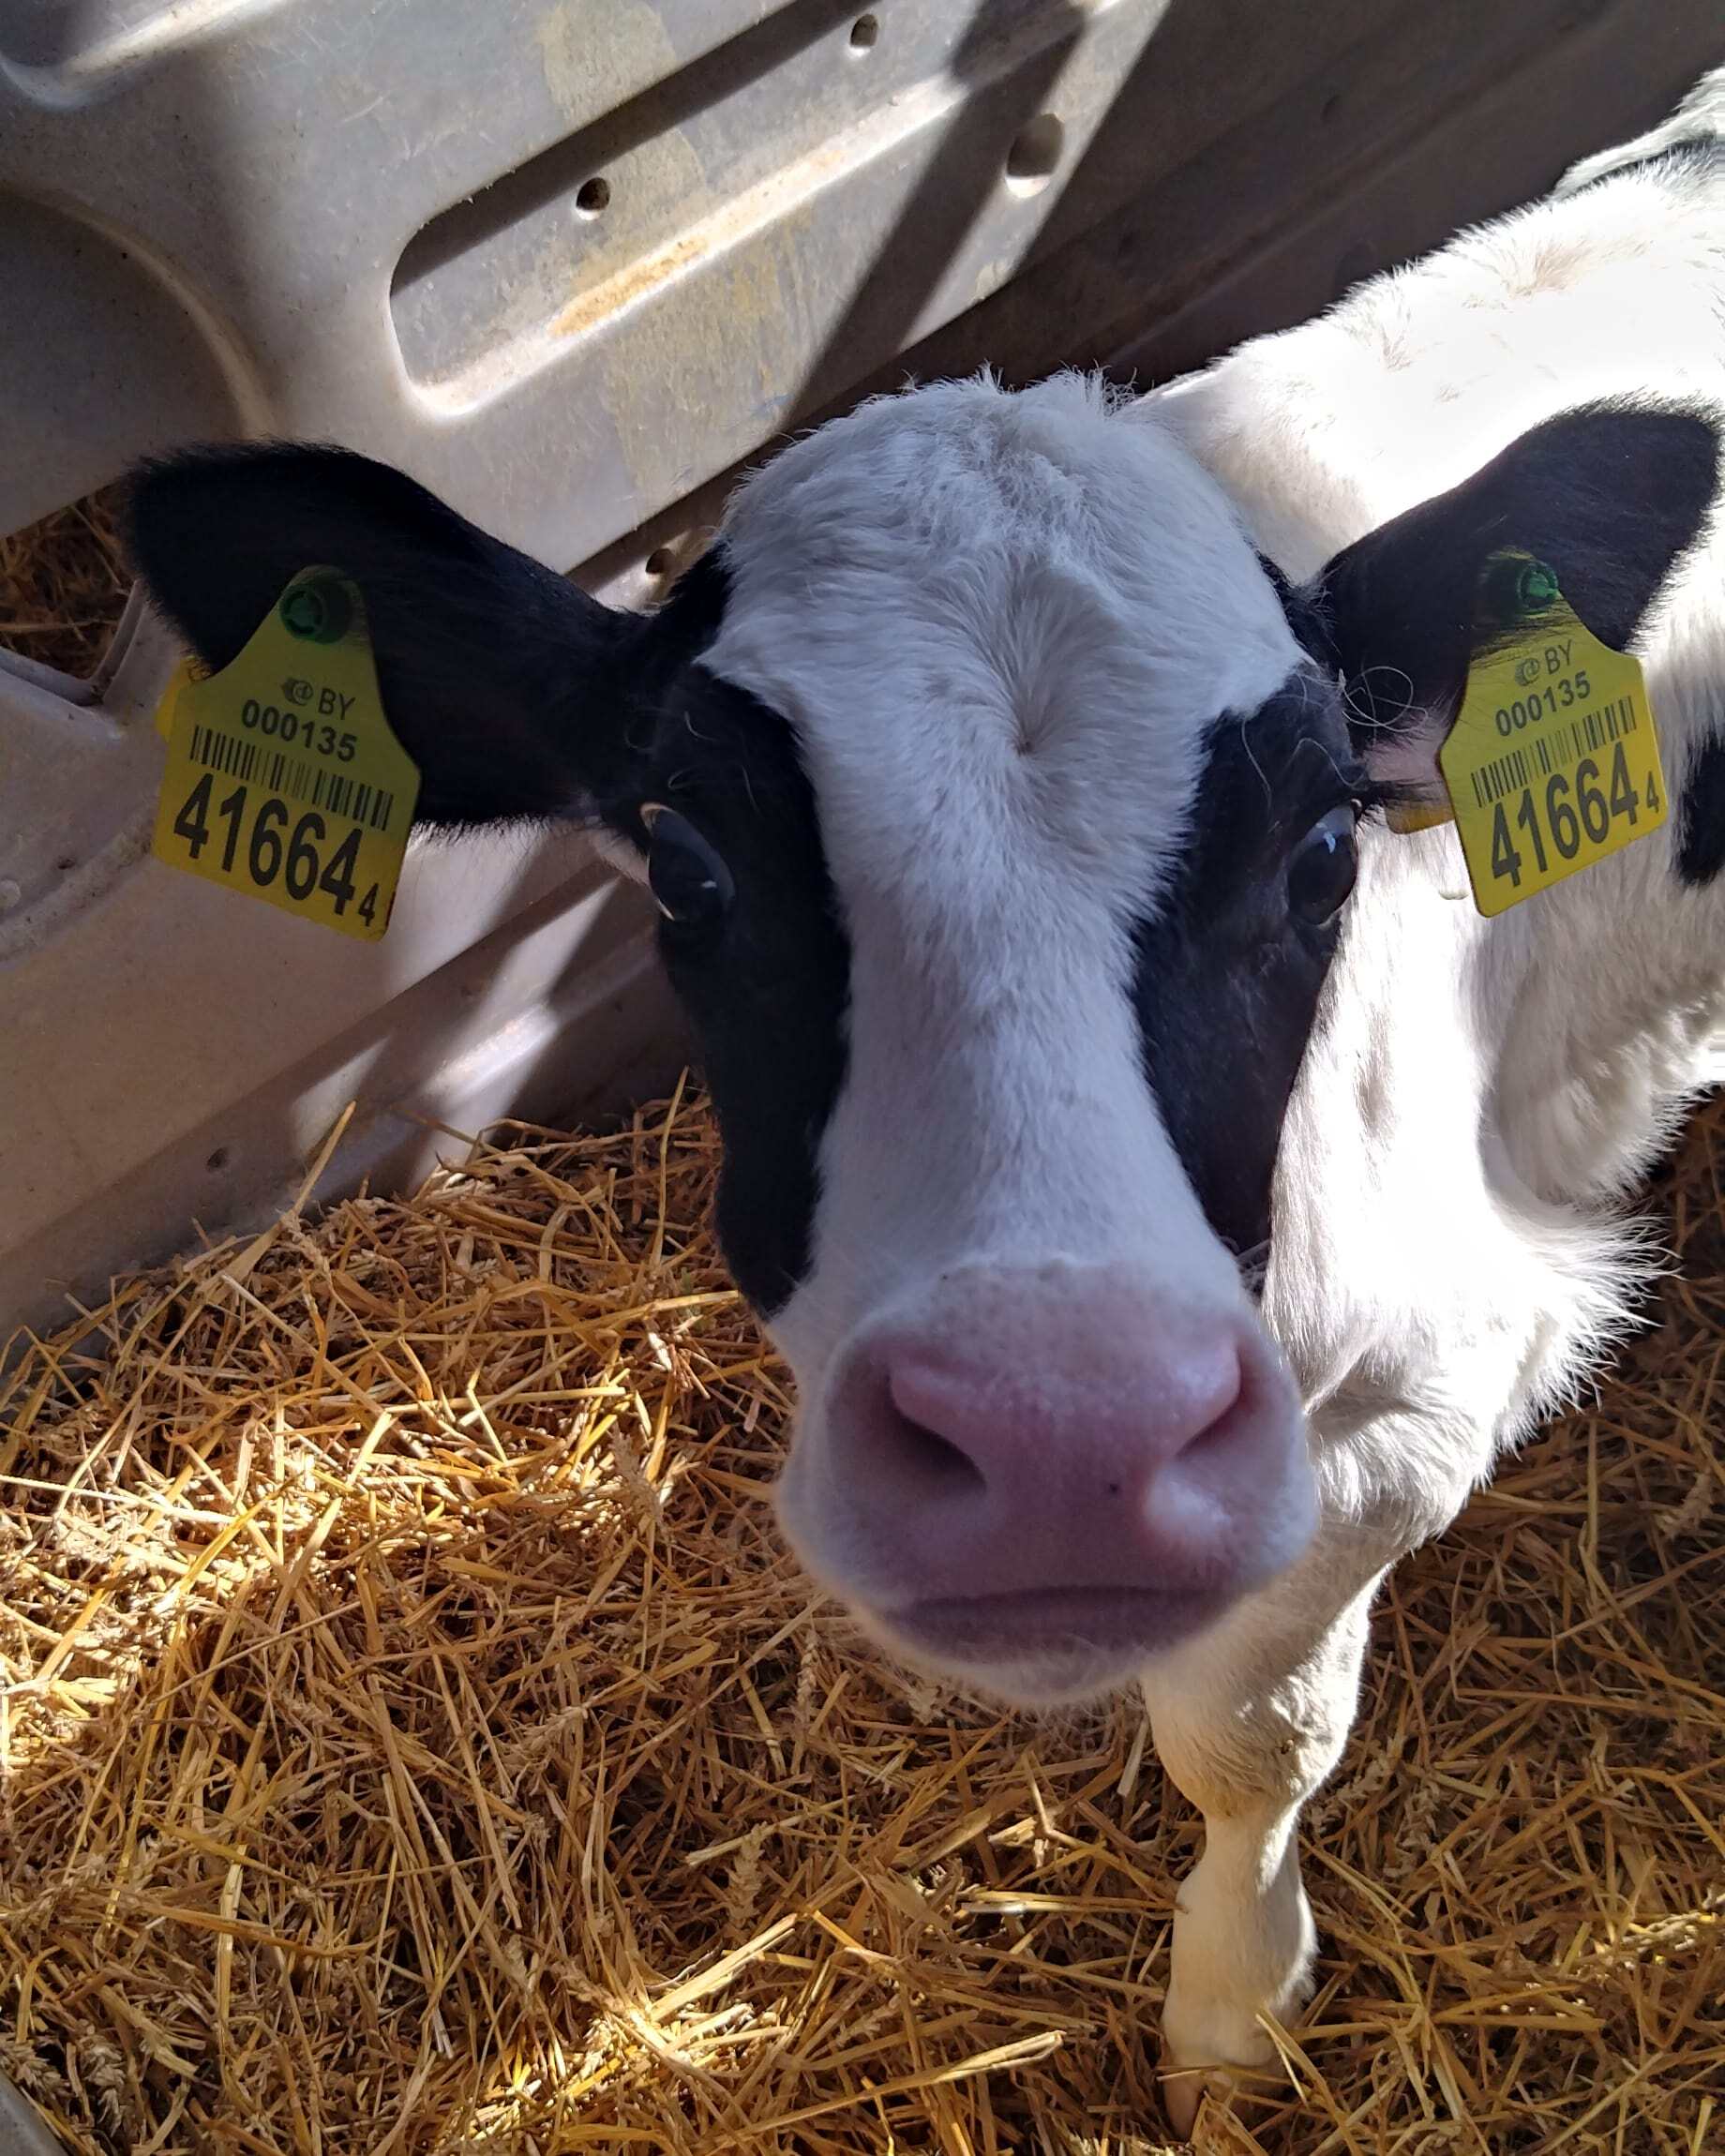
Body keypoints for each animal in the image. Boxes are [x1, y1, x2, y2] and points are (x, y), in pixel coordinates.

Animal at [128, 67, 1725, 2138]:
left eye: (1319, 853)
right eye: (683, 859)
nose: (1054, 1437)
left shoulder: (1416, 1393)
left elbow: (1247, 1734)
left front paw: (1232, 2005)